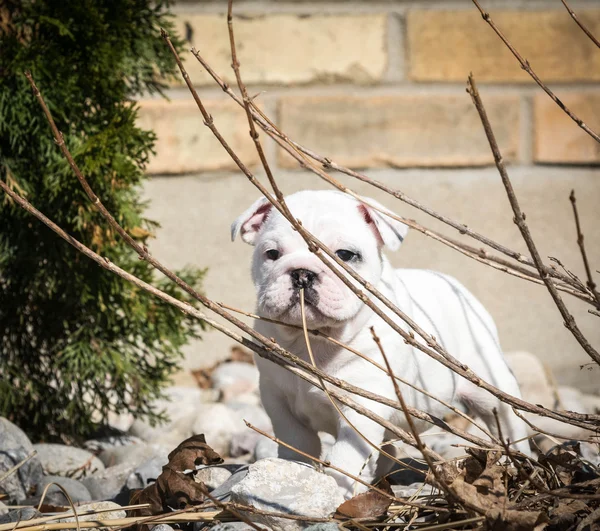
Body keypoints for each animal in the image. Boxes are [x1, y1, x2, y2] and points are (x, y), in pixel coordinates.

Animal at [231, 190, 528, 498]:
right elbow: (297, 440)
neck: (312, 338)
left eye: (345, 255)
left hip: (491, 386)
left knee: (508, 423)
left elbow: (346, 456)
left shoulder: (362, 405)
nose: (302, 273)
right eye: (272, 254)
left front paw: (338, 491)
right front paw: (293, 472)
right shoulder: (276, 397)